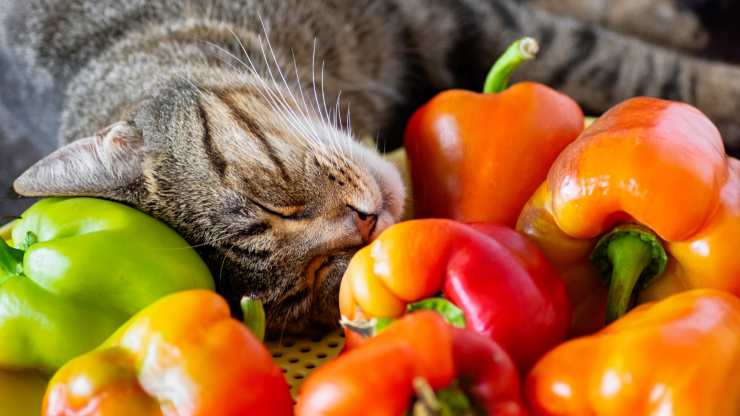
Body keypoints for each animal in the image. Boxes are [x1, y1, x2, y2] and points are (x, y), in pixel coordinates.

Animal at [1, 0, 740, 336]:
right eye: (312, 284)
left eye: (273, 200)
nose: (364, 225)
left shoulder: (439, 18)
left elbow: (604, 57)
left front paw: (718, 84)